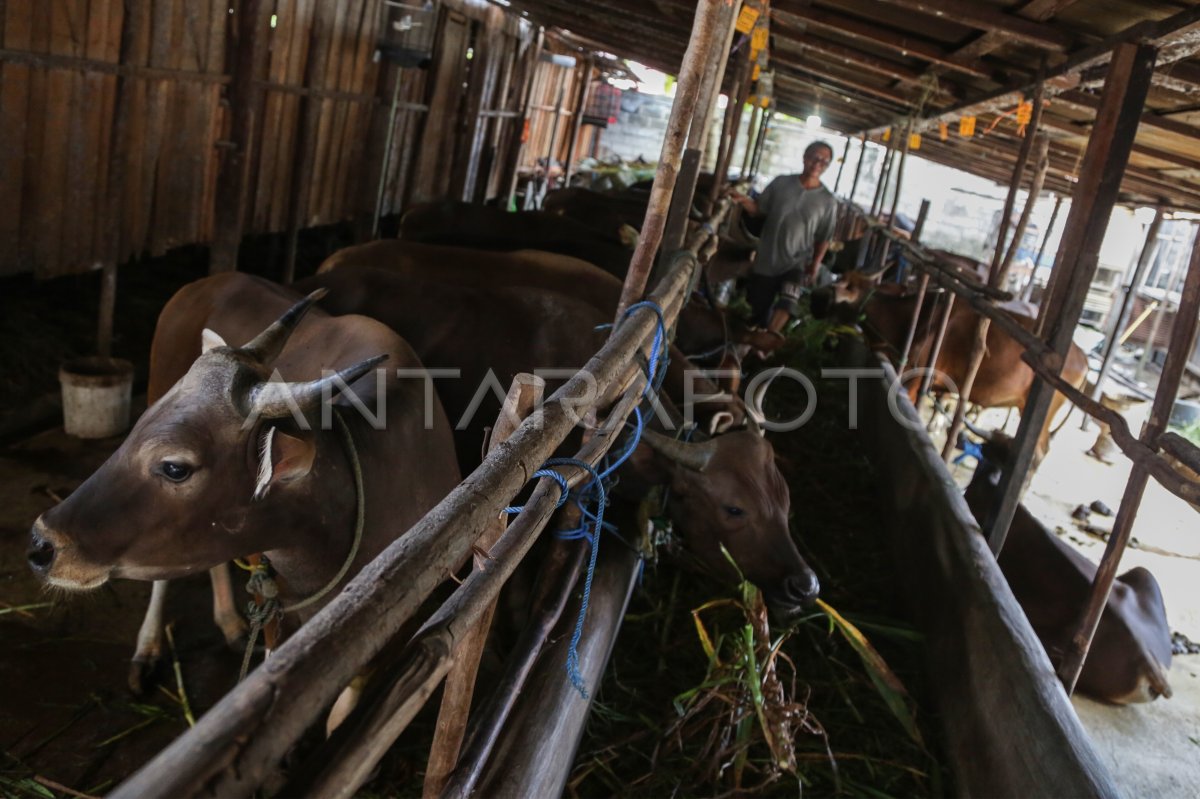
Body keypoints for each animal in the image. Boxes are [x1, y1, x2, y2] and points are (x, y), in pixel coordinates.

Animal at [816, 268, 1089, 460]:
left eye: (841, 291)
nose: (815, 300)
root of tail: (1082, 357)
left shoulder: (915, 377)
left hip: (1043, 412)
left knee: (1039, 453)